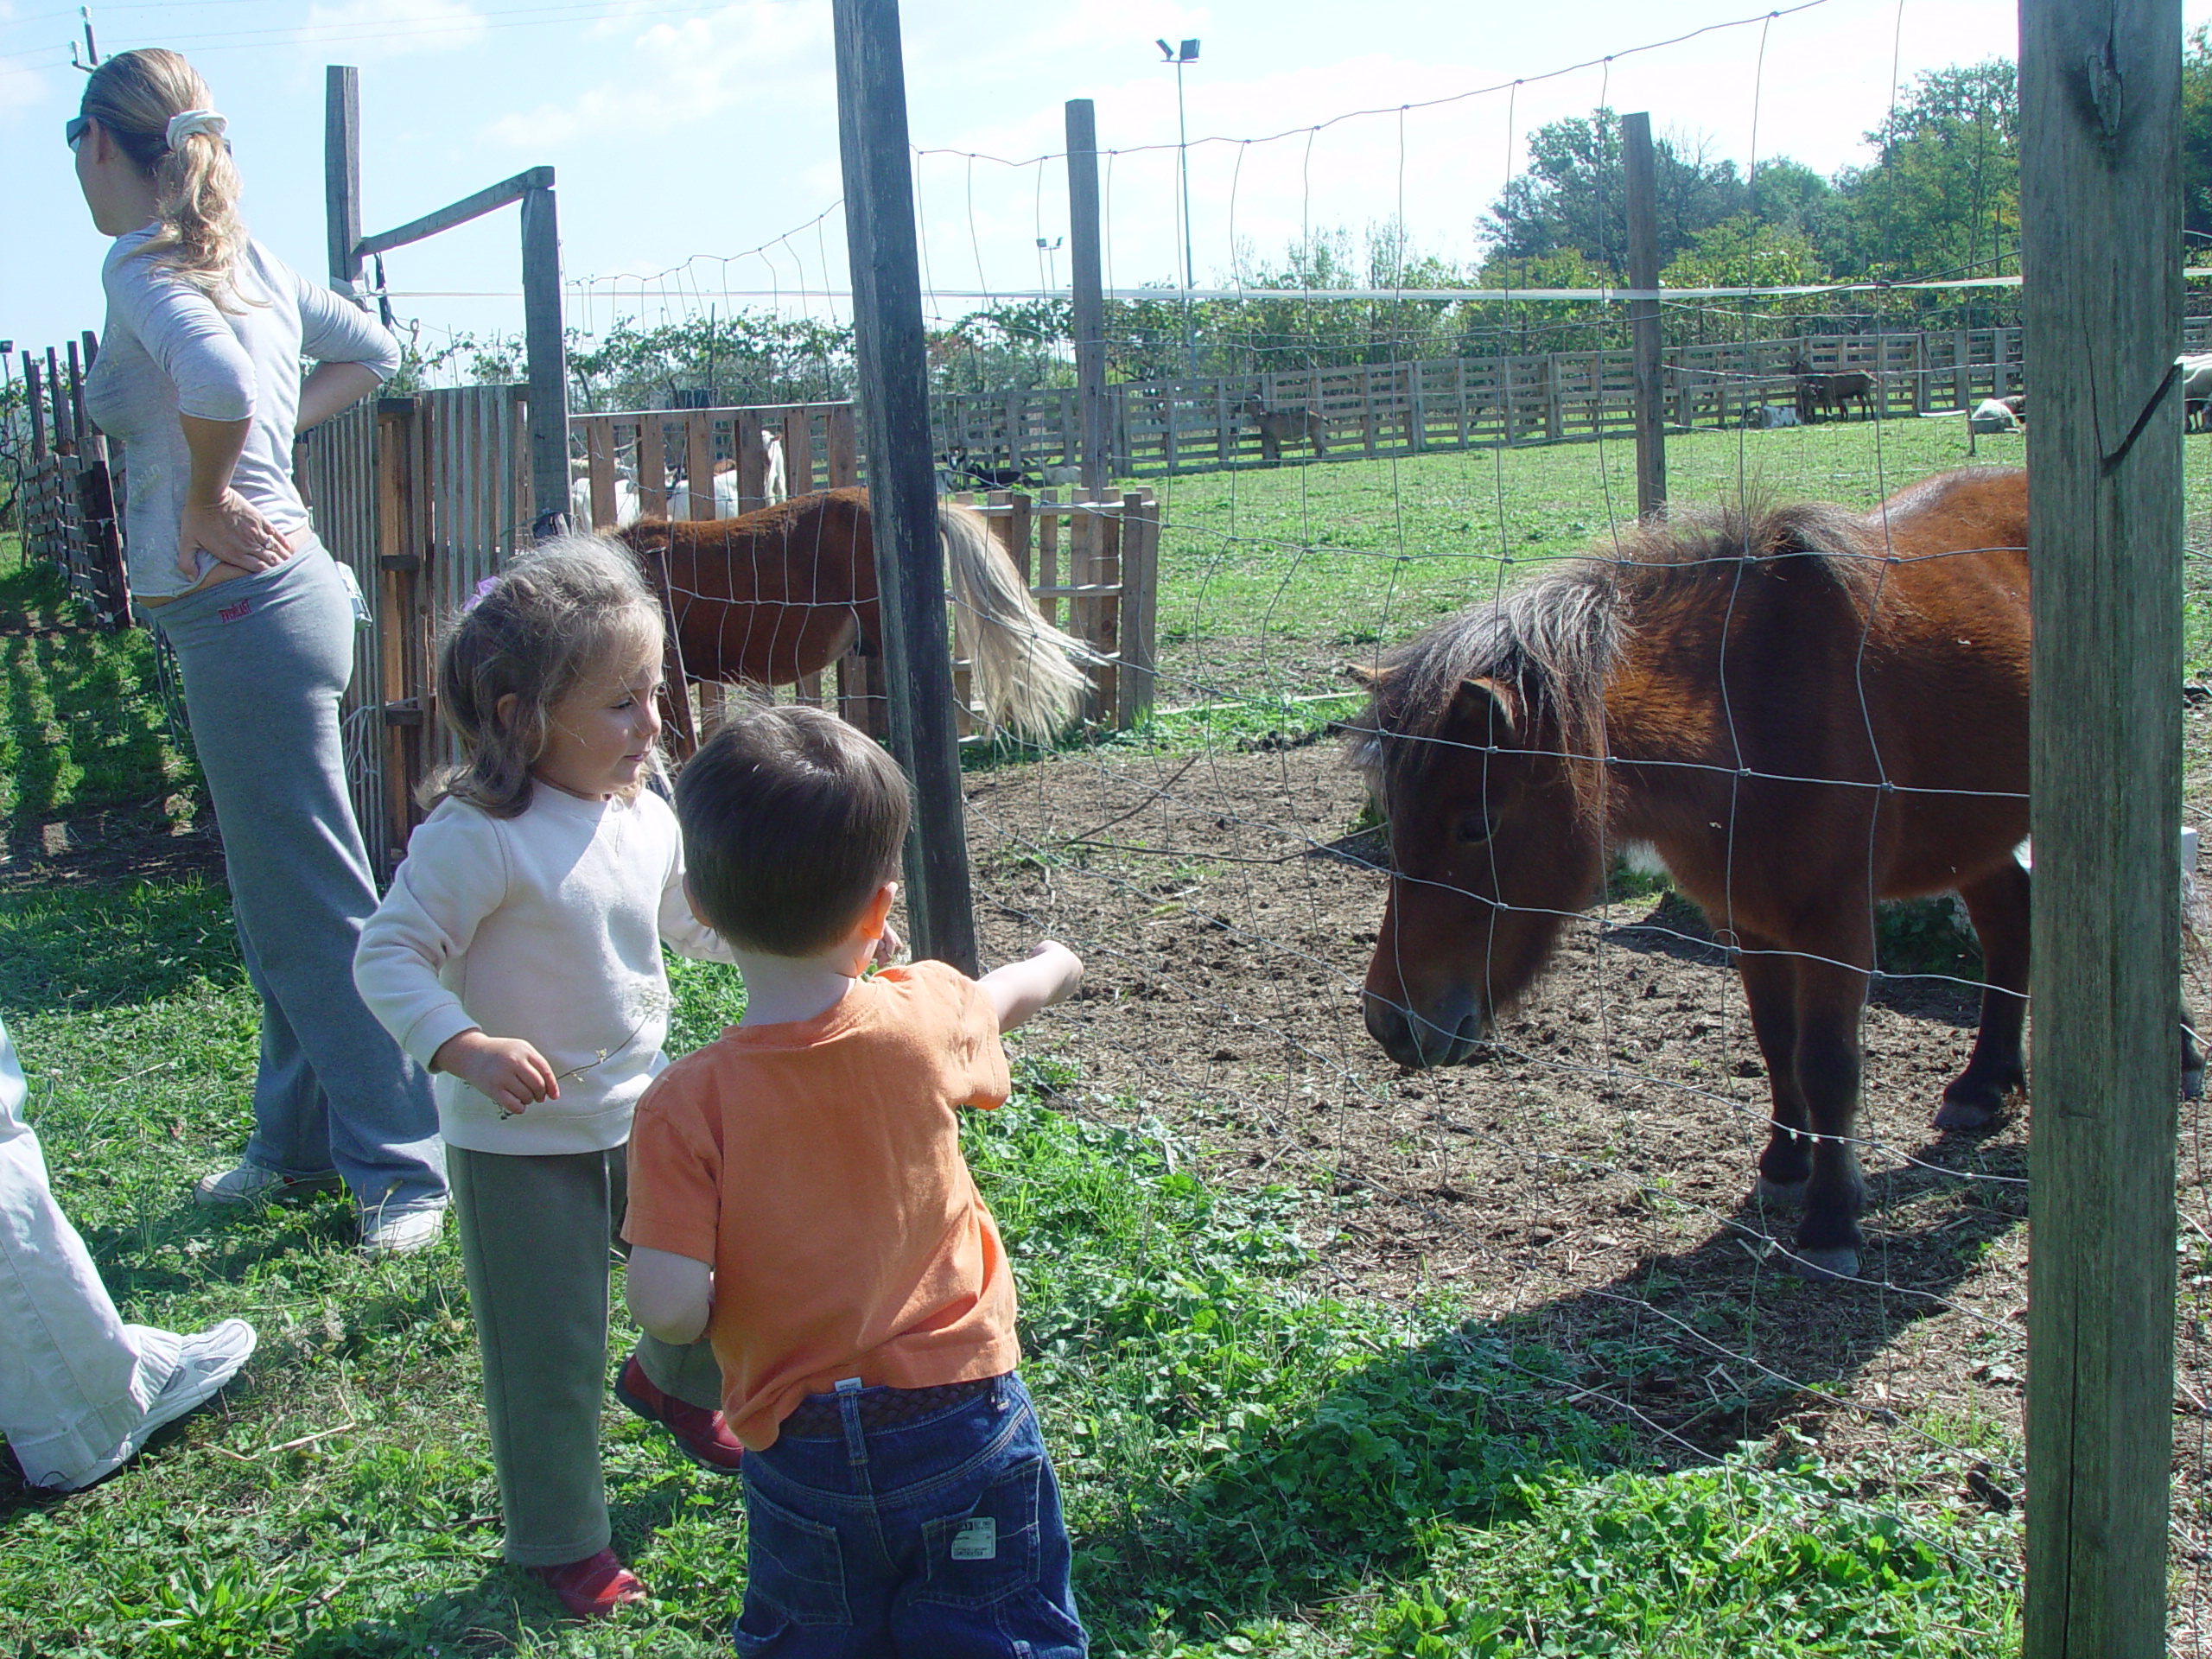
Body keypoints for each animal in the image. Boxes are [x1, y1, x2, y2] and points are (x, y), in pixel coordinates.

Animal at [1344, 473, 2035, 1282]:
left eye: (1475, 824)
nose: (1390, 1022)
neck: (1755, 713)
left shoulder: (1833, 926)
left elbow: (1828, 1063)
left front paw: (1831, 1221)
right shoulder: (1751, 919)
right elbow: (1776, 1044)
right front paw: (1783, 1167)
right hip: (1975, 838)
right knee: (2009, 922)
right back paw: (1983, 1086)